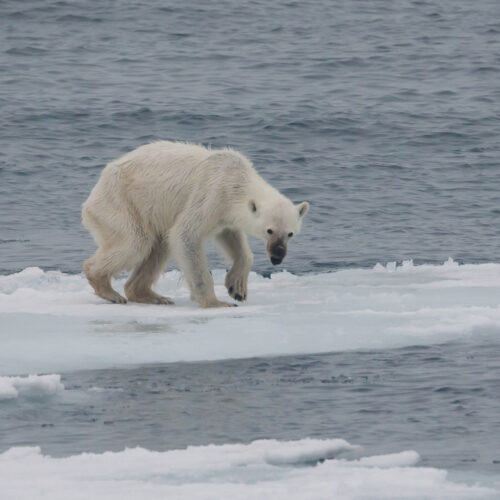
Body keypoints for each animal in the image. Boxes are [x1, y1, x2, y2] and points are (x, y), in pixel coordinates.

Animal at [81, 139, 308, 306]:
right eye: (269, 230)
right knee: (136, 242)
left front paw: (237, 288)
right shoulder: (211, 194)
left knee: (159, 246)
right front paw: (216, 302)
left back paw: (152, 296)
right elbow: (185, 235)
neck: (236, 179)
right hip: (120, 203)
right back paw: (109, 289)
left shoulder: (224, 213)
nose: (277, 257)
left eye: (290, 233)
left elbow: (232, 238)